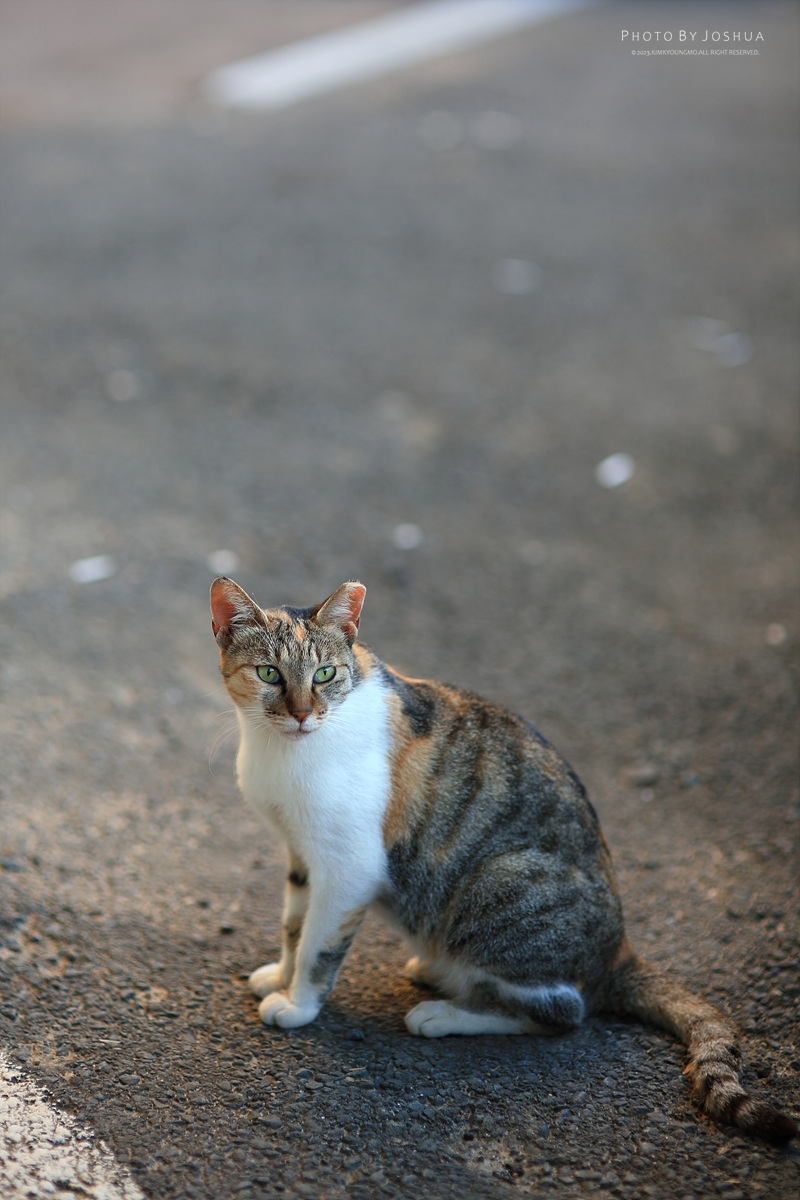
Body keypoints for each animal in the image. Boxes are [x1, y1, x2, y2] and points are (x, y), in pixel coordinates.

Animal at [210, 576, 797, 1144]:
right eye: (269, 674)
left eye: (325, 674)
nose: (301, 714)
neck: (284, 751)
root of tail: (617, 952)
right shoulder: (302, 854)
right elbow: (294, 928)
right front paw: (281, 975)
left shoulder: (349, 867)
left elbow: (319, 947)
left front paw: (299, 1003)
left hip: (496, 883)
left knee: (562, 1010)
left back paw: (446, 1013)